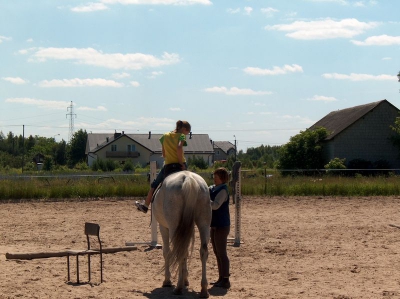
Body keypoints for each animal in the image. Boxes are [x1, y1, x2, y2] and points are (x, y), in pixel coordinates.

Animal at [152, 170, 211, 298]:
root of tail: (188, 178)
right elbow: (187, 252)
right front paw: (185, 279)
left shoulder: (164, 227)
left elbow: (167, 252)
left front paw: (167, 280)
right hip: (204, 223)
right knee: (203, 251)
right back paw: (204, 289)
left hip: (174, 227)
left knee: (179, 251)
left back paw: (178, 287)